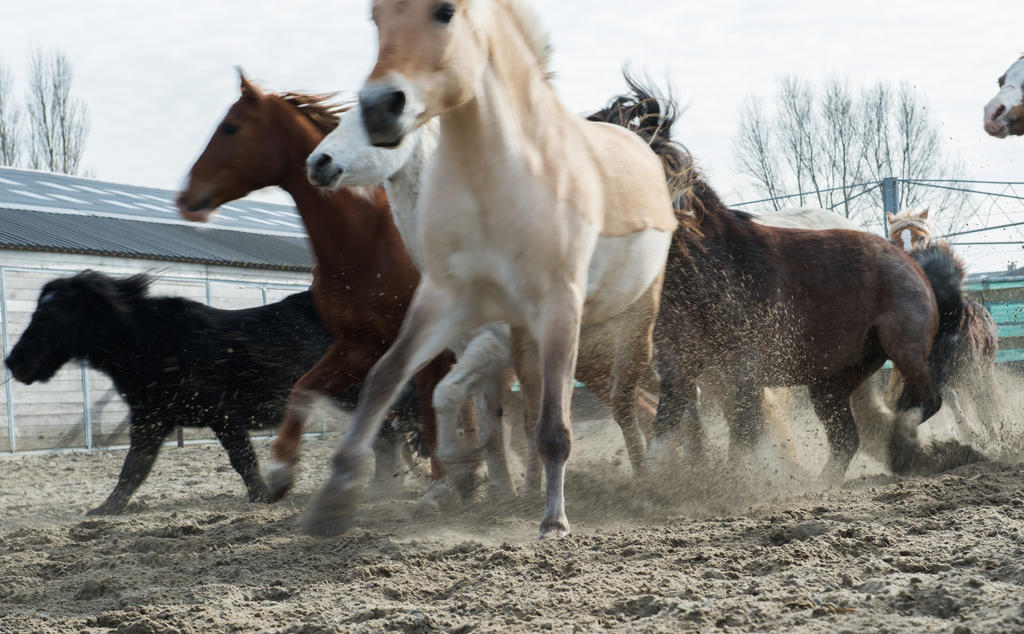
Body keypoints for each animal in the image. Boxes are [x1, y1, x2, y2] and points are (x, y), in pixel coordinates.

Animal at [8, 272, 415, 516]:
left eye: (52, 314)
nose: (14, 362)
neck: (151, 342)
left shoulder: (222, 415)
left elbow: (243, 461)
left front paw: (264, 499)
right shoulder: (152, 419)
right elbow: (133, 469)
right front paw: (105, 510)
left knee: (388, 436)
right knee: (385, 437)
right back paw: (382, 488)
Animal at [178, 73, 462, 501]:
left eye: (230, 127)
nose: (185, 196)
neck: (366, 245)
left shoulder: (424, 346)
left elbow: (429, 408)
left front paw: (443, 483)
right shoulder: (358, 346)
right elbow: (303, 390)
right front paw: (281, 472)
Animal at [299, 0, 675, 540]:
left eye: (445, 11)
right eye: (375, 17)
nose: (320, 162)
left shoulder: (541, 315)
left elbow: (541, 424)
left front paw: (548, 517)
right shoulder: (450, 310)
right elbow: (393, 382)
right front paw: (338, 498)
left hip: (627, 323)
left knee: (628, 403)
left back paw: (650, 478)